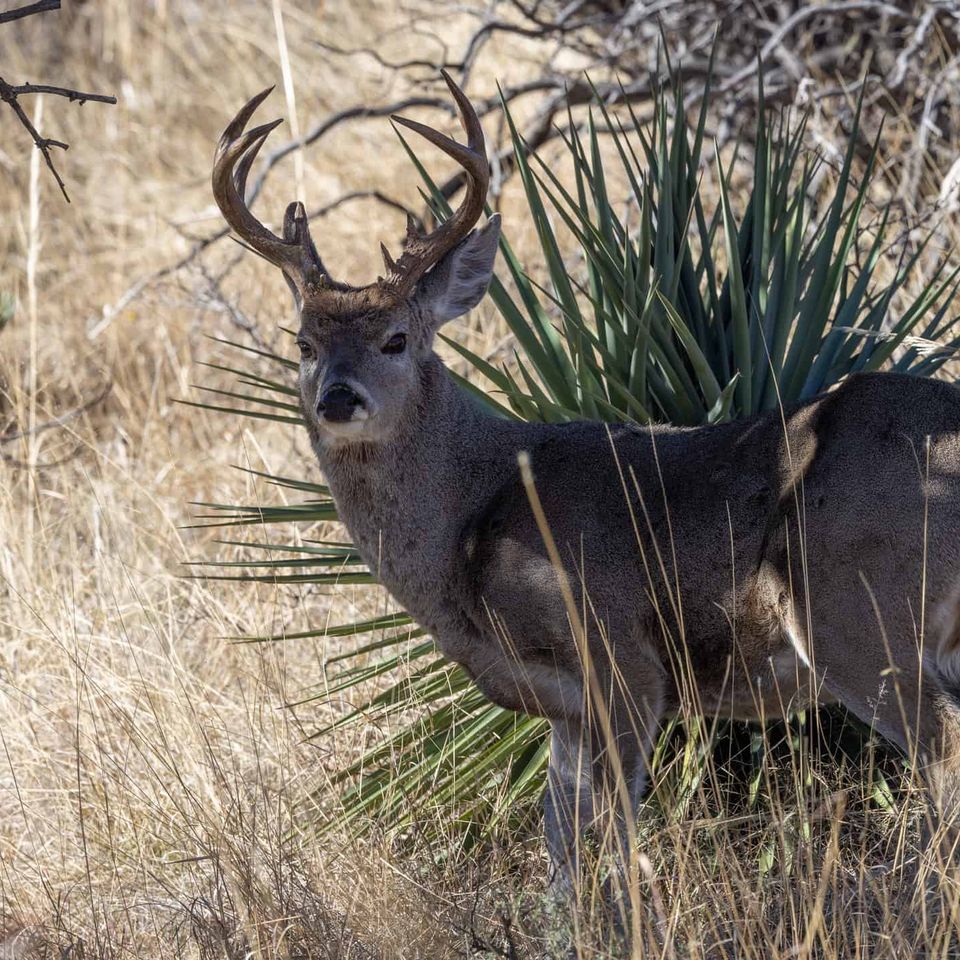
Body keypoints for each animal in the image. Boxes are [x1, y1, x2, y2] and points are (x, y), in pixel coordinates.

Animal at [212, 72, 960, 910]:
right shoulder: (562, 705)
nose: (337, 398)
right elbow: (559, 840)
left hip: (854, 610)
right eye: (303, 343)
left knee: (943, 749)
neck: (475, 511)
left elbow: (618, 828)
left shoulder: (621, 658)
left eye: (395, 340)